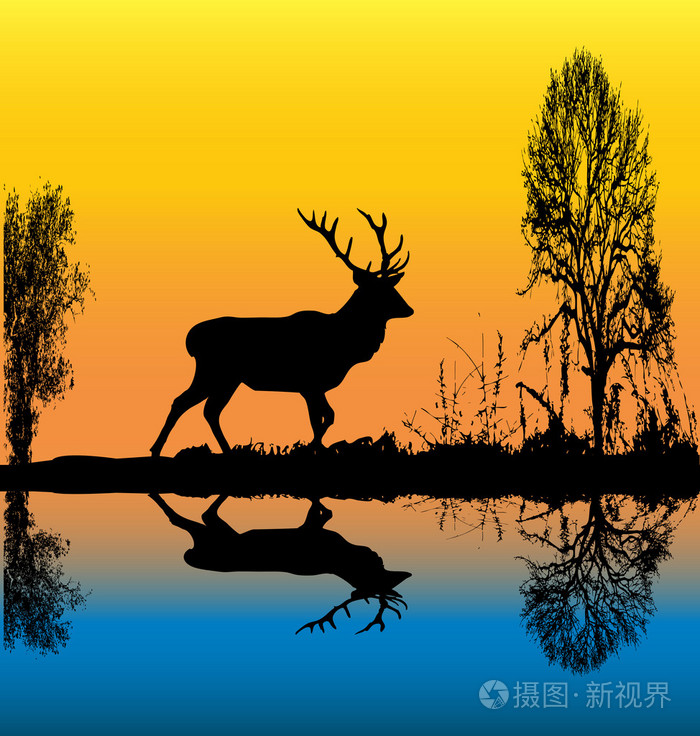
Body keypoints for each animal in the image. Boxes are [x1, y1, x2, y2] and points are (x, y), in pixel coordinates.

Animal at [149, 208, 413, 456]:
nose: (409, 309)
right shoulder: (309, 382)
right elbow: (320, 419)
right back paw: (156, 449)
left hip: (228, 378)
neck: (346, 343)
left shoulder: (315, 386)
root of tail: (190, 339)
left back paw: (226, 449)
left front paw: (316, 447)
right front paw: (312, 448)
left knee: (209, 410)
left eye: (392, 287)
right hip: (213, 371)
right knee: (183, 402)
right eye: (378, 291)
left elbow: (326, 417)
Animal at [149, 494, 411, 634]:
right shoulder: (313, 529)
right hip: (215, 534)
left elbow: (323, 510)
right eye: (379, 563)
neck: (343, 557)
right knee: (193, 515)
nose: (378, 556)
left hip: (215, 533)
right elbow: (324, 510)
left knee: (195, 516)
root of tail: (190, 555)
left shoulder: (312, 529)